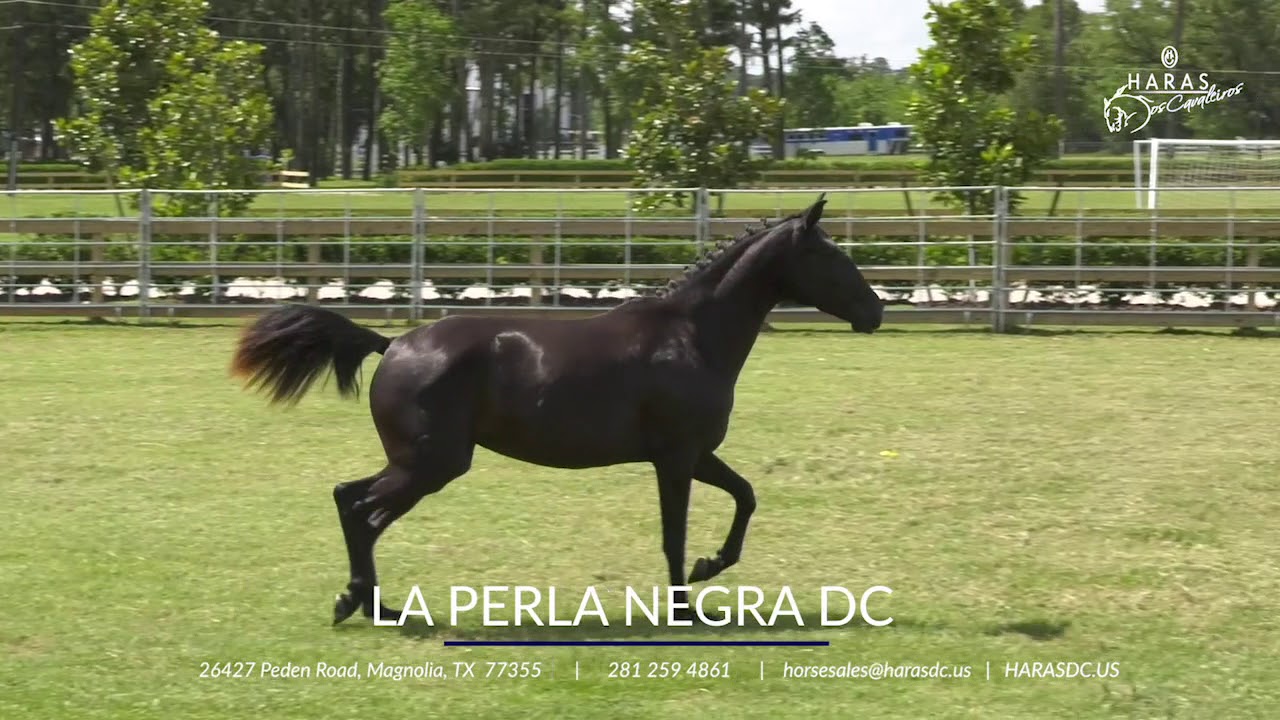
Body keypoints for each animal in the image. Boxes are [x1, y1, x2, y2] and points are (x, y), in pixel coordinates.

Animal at [228, 194, 884, 625]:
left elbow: (745, 497)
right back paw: (365, 604)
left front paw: (707, 567)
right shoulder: (675, 458)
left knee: (347, 498)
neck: (691, 335)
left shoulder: (696, 454)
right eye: (833, 257)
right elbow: (674, 533)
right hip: (431, 464)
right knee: (364, 512)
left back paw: (371, 604)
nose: (875, 310)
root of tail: (393, 345)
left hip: (419, 462)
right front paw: (686, 606)